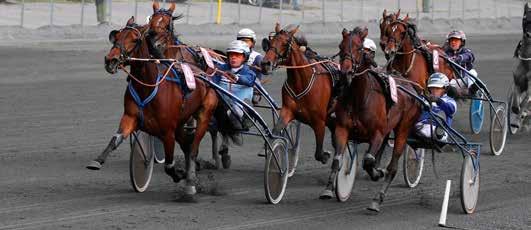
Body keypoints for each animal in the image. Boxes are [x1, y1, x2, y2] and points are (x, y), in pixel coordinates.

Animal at [87, 16, 218, 199]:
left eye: (135, 39)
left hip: (204, 116)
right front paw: (97, 160)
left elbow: (169, 165)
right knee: (187, 145)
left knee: (193, 148)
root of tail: (204, 74)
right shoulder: (130, 117)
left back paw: (190, 183)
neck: (148, 86)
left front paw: (179, 174)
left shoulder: (168, 131)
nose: (110, 60)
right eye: (116, 36)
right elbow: (115, 139)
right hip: (179, 124)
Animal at [260, 22, 338, 164]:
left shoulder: (319, 121)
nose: (265, 64)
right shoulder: (287, 111)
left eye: (285, 44)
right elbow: (276, 130)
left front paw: (325, 155)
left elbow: (319, 153)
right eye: (270, 42)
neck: (301, 82)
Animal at [322, 27, 422, 212]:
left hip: (403, 129)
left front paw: (376, 173)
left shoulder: (377, 133)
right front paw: (328, 189)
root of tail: (411, 86)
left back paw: (377, 199)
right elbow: (338, 159)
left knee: (393, 167)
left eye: (359, 48)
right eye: (341, 47)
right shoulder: (342, 128)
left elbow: (368, 160)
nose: (345, 72)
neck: (359, 97)